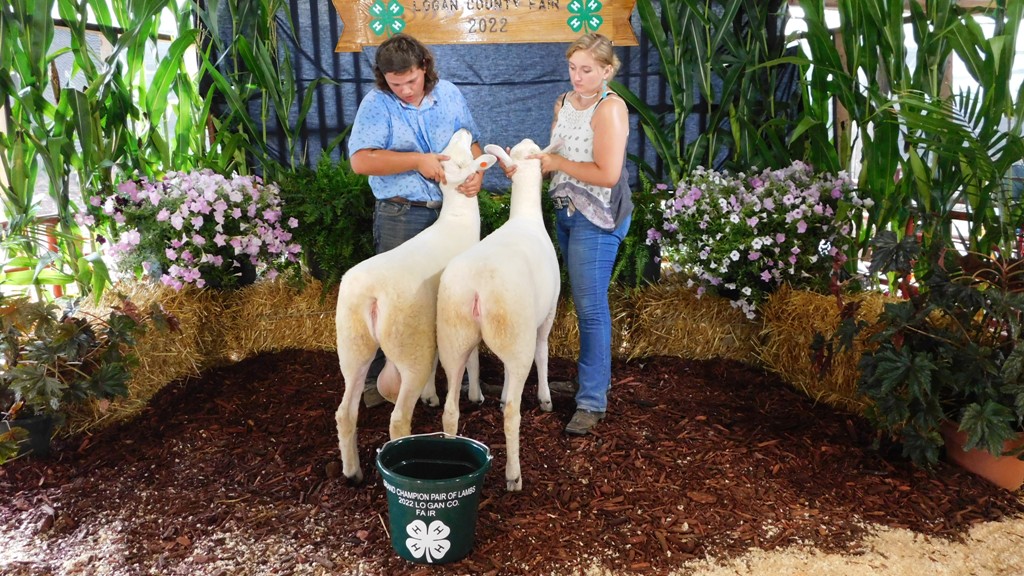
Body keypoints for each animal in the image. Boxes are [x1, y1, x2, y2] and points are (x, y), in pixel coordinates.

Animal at [334, 128, 496, 484]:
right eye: (458, 159)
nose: (464, 130)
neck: (456, 219)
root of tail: (373, 296)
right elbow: (471, 356)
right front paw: (474, 394)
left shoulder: (434, 323)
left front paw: (431, 396)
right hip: (408, 346)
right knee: (397, 419)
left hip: (352, 343)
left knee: (345, 412)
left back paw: (352, 472)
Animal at [435, 138, 562, 492]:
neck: (526, 216)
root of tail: (477, 288)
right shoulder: (547, 313)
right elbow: (543, 353)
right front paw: (545, 399)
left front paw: (501, 394)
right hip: (516, 333)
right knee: (512, 414)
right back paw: (514, 475)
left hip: (453, 336)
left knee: (450, 409)